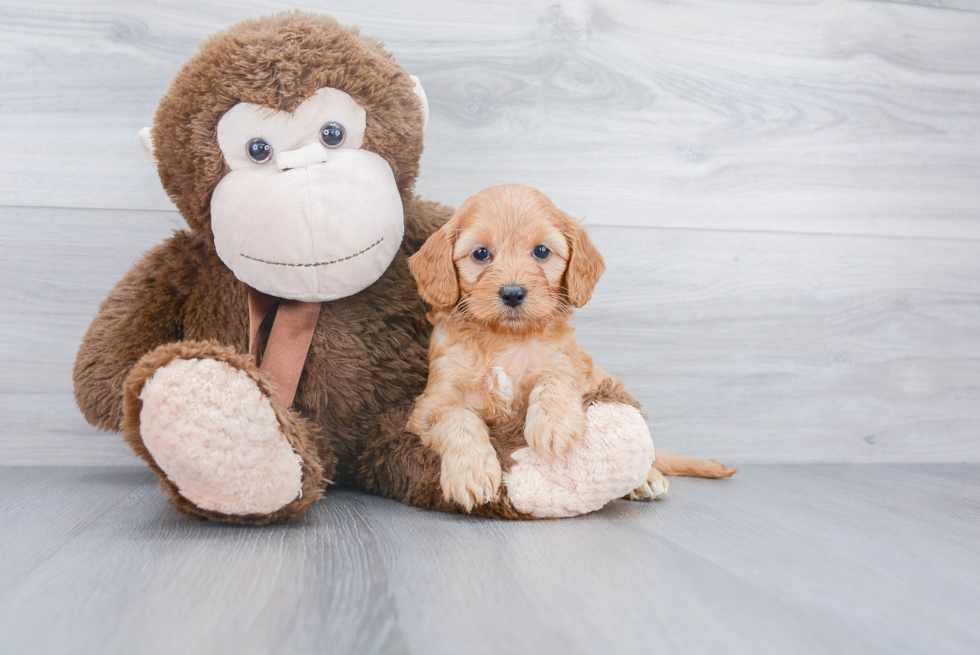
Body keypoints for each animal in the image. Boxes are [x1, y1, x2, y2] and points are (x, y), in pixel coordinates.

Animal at [408, 184, 736, 512]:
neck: (505, 338)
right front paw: (470, 474)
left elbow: (555, 376)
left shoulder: (567, 362)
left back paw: (647, 478)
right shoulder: (429, 406)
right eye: (480, 253)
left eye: (541, 251)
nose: (513, 294)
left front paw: (553, 425)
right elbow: (457, 418)